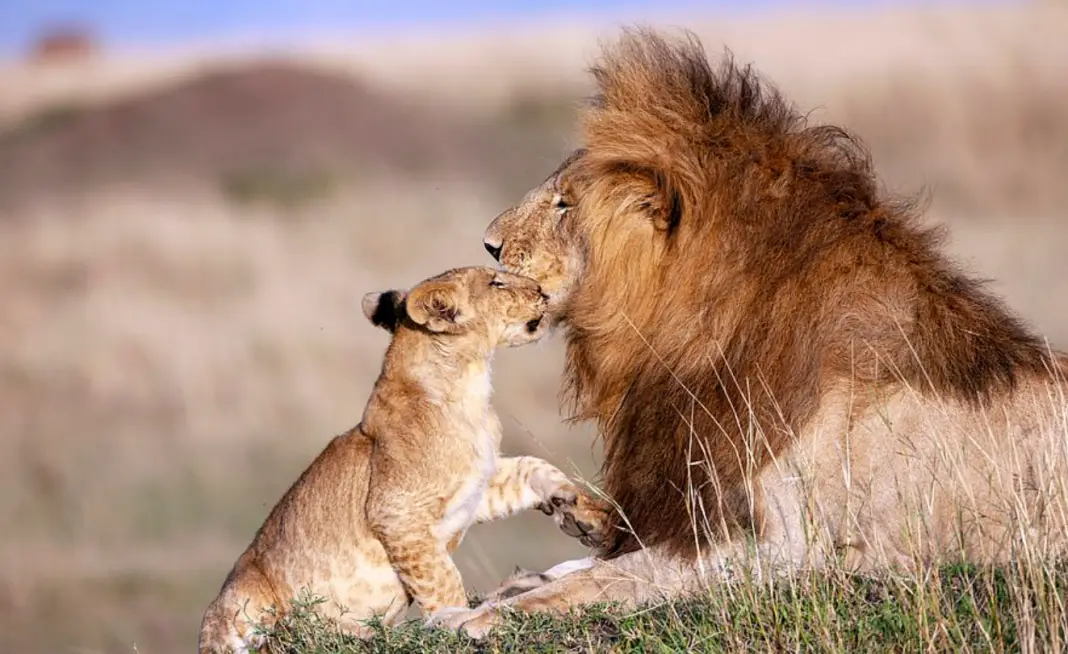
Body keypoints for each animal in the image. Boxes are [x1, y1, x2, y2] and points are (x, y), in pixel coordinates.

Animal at [435, 28, 1068, 636]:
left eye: (565, 204)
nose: (489, 245)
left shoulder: (794, 548)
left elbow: (622, 575)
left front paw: (484, 615)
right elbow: (598, 565)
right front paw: (524, 577)